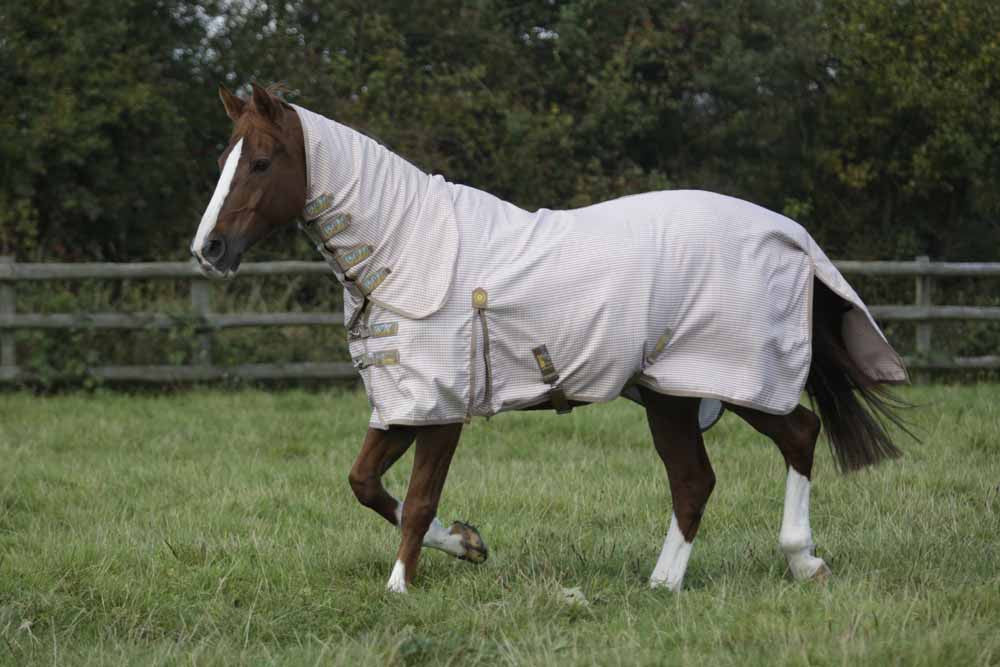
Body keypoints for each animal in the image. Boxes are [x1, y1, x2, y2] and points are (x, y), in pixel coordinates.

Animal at [190, 82, 908, 594]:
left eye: (260, 161)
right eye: (223, 161)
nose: (209, 250)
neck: (405, 249)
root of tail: (788, 235)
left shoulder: (442, 408)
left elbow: (418, 500)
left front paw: (400, 588)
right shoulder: (403, 404)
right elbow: (364, 484)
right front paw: (469, 543)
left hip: (722, 379)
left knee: (771, 446)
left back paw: (770, 565)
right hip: (681, 391)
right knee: (727, 465)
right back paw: (697, 578)